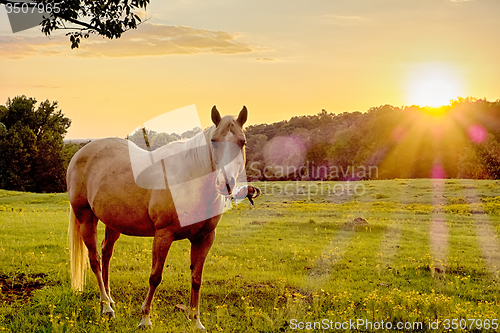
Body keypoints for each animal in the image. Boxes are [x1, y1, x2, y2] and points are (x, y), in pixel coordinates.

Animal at [66, 105, 248, 328]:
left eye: (242, 142)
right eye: (214, 141)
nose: (225, 183)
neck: (190, 181)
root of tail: (80, 154)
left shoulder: (204, 238)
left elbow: (196, 278)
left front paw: (196, 322)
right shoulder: (163, 235)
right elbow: (155, 276)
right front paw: (145, 319)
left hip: (113, 223)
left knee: (106, 253)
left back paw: (110, 299)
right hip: (85, 218)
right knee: (95, 260)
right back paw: (106, 308)